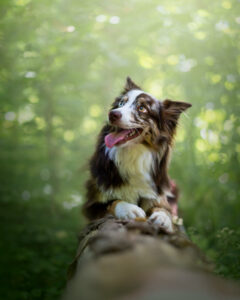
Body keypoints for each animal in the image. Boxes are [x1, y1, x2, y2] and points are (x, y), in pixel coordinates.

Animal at [83, 77, 192, 232]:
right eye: (121, 103)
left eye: (142, 108)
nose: (112, 114)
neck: (133, 153)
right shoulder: (92, 204)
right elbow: (113, 201)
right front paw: (129, 209)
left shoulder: (157, 195)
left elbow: (164, 209)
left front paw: (163, 217)